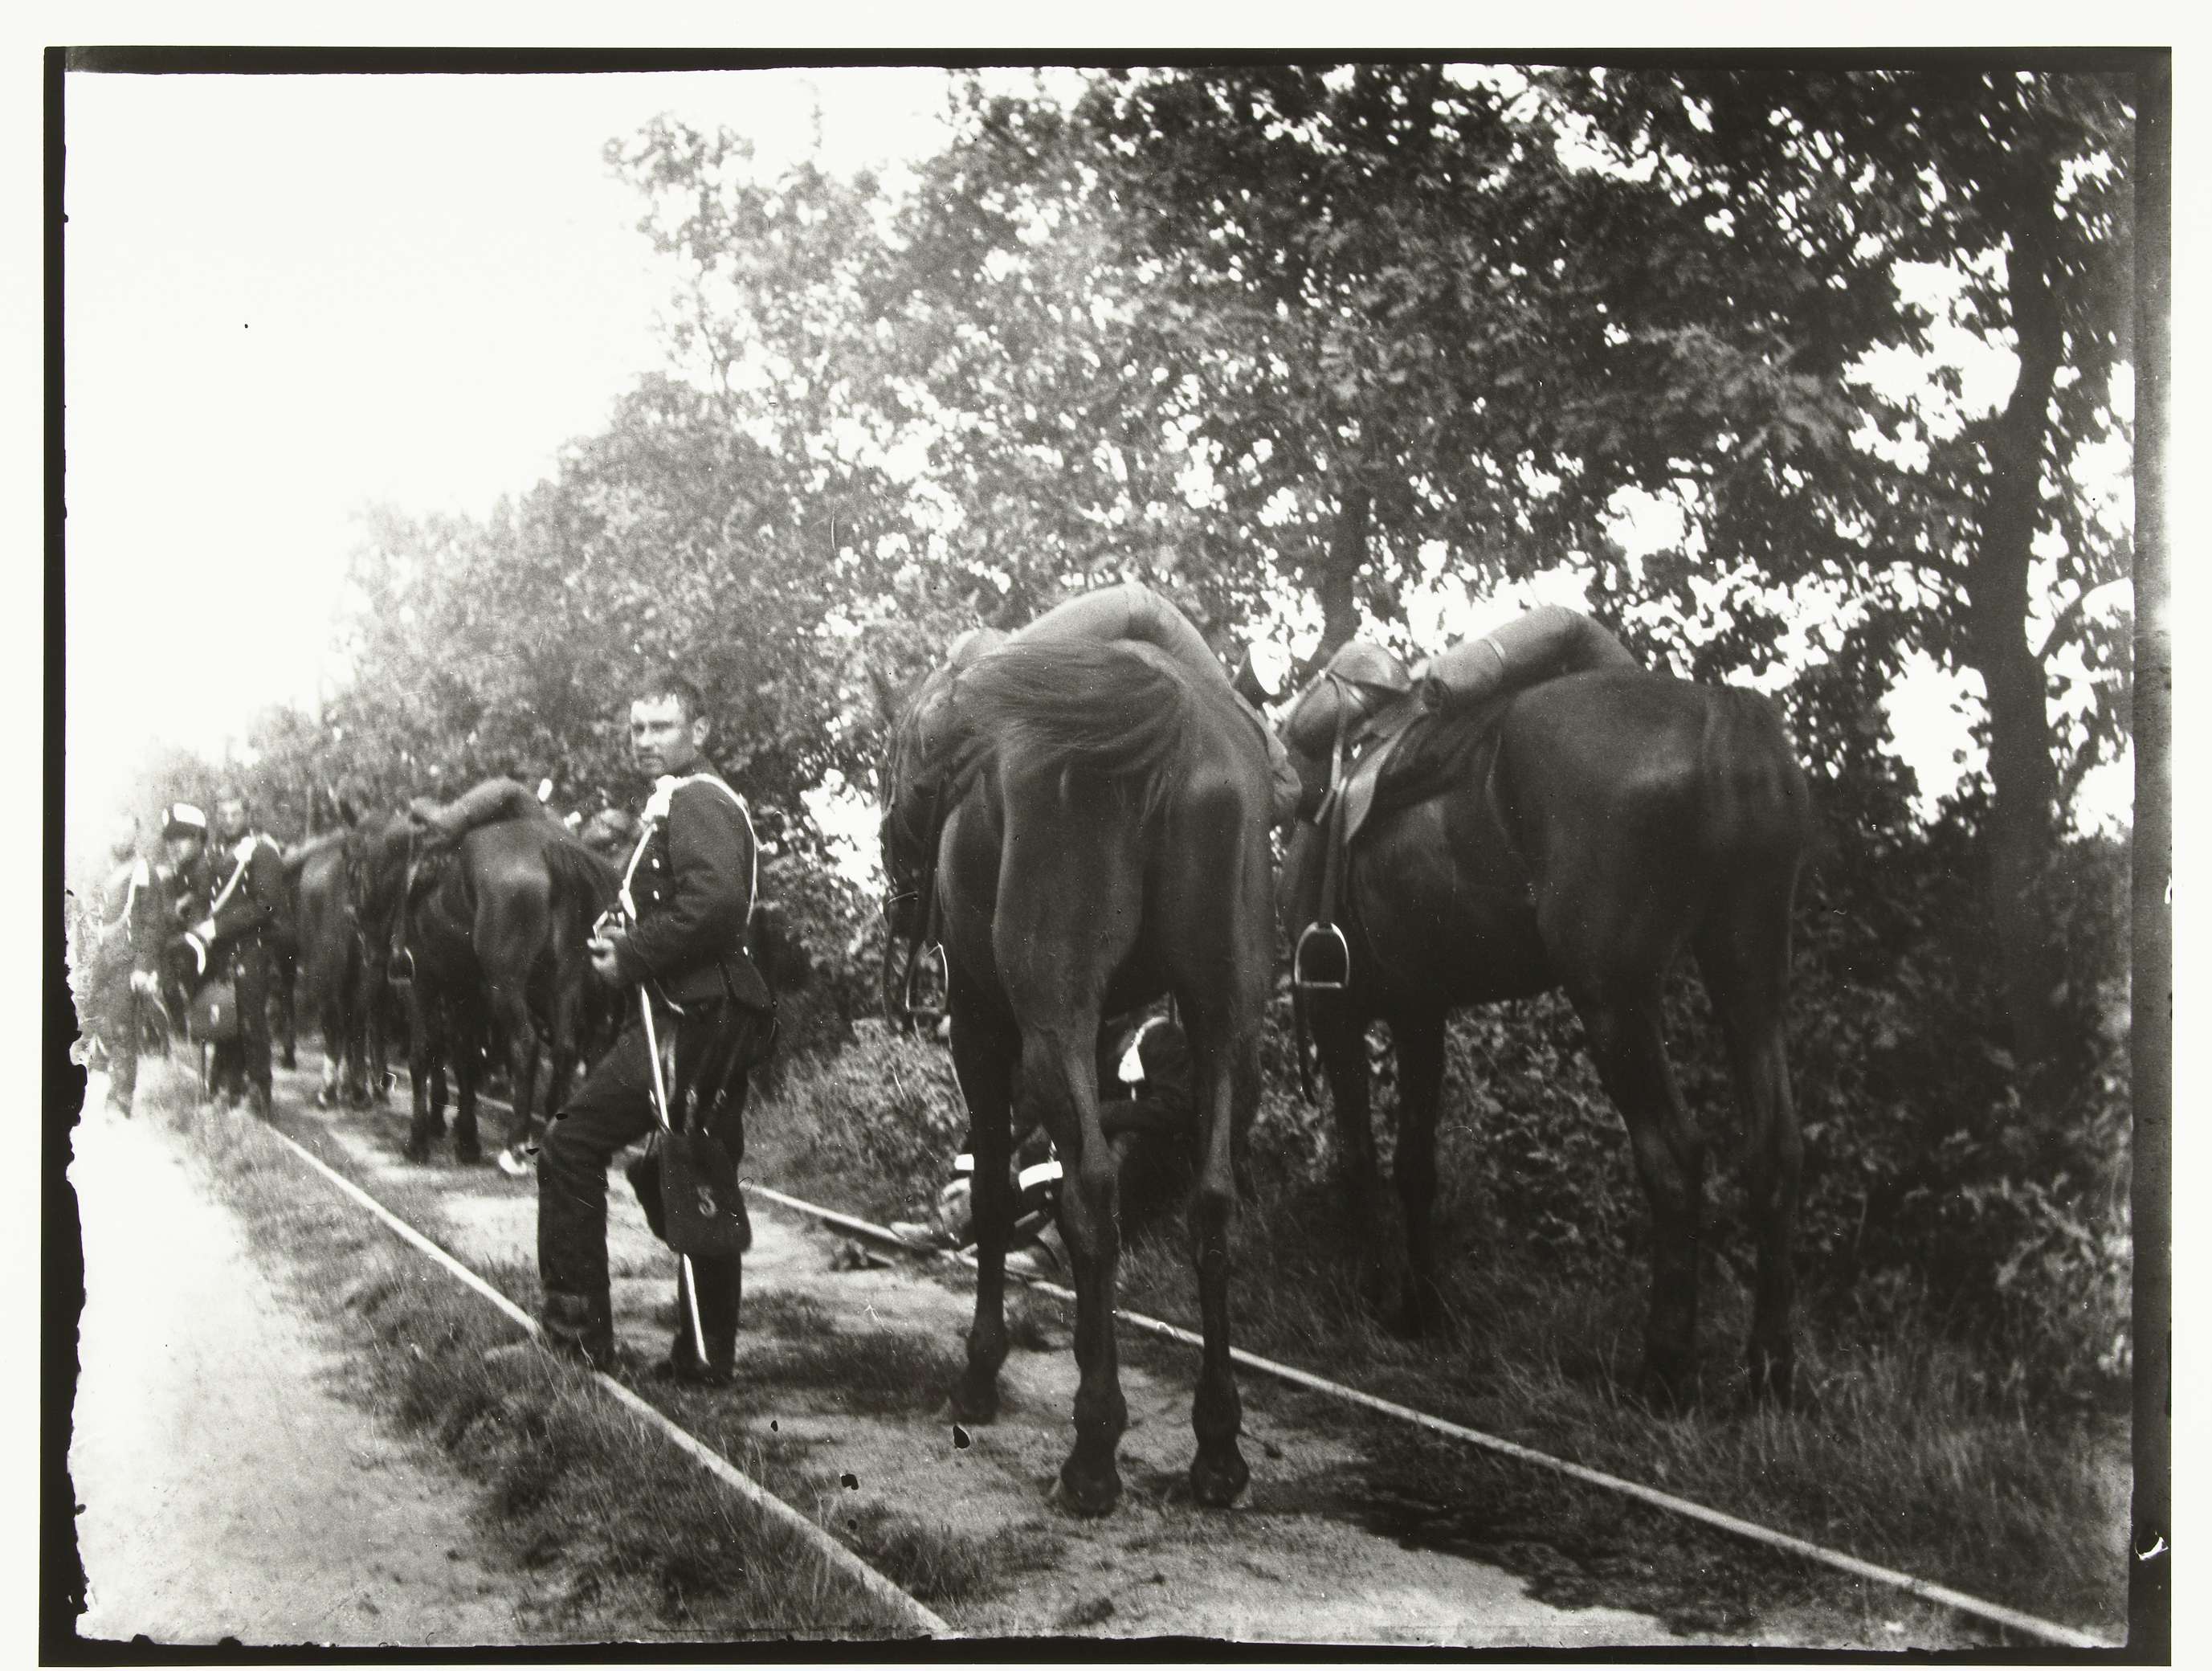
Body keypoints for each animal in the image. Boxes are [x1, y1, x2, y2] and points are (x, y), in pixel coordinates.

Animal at [350, 809, 615, 1165]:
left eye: (354, 867)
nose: (362, 937)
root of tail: (551, 849)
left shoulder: (420, 986)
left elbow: (423, 1055)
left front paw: (419, 1139)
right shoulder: (465, 991)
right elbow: (464, 1057)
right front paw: (466, 1138)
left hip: (507, 986)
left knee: (525, 1044)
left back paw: (516, 1145)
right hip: (563, 983)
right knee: (565, 1048)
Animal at [882, 584, 1277, 1516]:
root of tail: (1170, 717)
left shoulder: (982, 1026)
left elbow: (996, 1187)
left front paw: (980, 1374)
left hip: (1049, 1018)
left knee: (1092, 1189)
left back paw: (1093, 1449)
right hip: (1226, 1018)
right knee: (1211, 1198)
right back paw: (1217, 1445)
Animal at [1277, 649, 1813, 1406]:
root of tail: (1718, 711)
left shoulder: (1337, 1013)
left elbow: (1358, 1160)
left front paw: (1377, 1295)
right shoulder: (1420, 1016)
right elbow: (1415, 1166)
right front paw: (1420, 1307)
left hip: (1615, 1001)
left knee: (1675, 1157)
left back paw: (1663, 1367)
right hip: (1750, 975)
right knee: (1776, 1151)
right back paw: (1770, 1369)